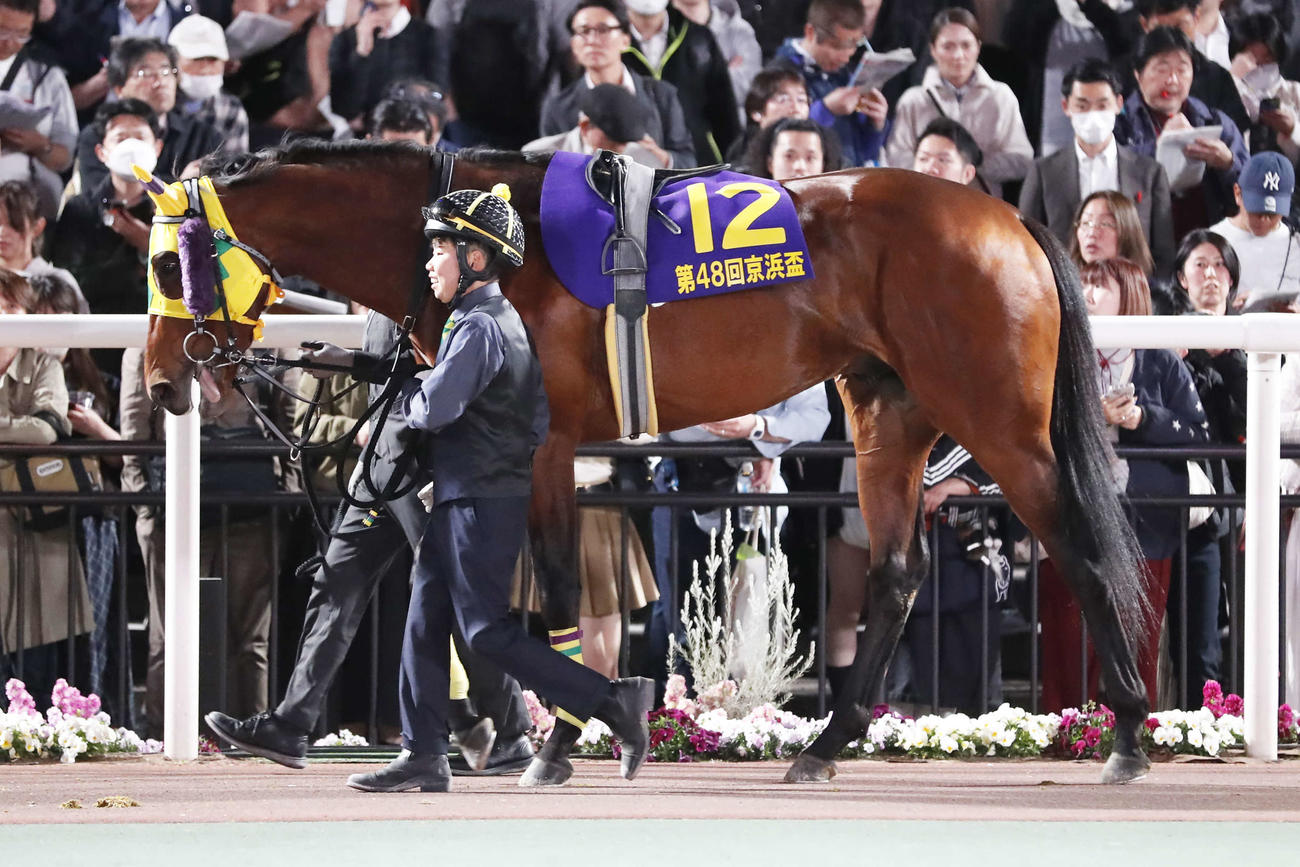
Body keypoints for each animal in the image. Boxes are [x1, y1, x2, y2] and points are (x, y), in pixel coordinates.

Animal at [142, 141, 1152, 785]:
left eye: (164, 269)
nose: (161, 378)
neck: (494, 246)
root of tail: (1010, 219)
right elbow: (415, 557)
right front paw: (484, 724)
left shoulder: (545, 441)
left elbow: (546, 586)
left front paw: (552, 741)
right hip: (888, 412)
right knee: (898, 571)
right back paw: (826, 742)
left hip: (995, 418)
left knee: (1079, 546)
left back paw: (1131, 731)